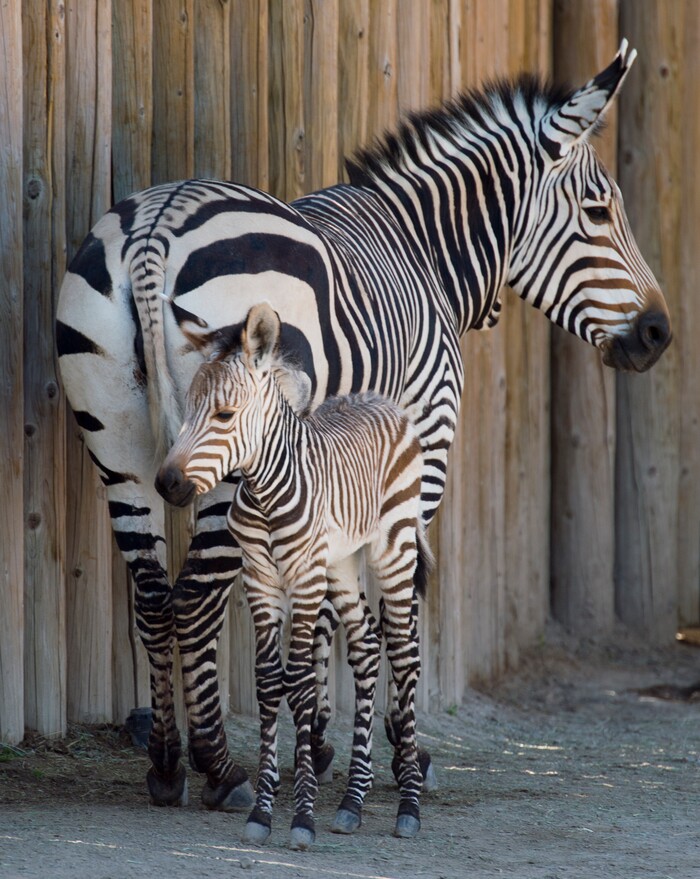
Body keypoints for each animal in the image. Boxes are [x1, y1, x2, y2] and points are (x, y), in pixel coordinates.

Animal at [156, 301, 432, 847]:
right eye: (187, 409)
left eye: (224, 416)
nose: (167, 484)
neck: (268, 492)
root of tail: (381, 401)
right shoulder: (261, 580)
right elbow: (269, 683)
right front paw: (262, 812)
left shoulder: (304, 579)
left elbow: (302, 682)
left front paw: (302, 815)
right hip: (342, 562)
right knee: (366, 645)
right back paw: (352, 802)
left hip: (393, 548)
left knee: (404, 653)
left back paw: (408, 806)